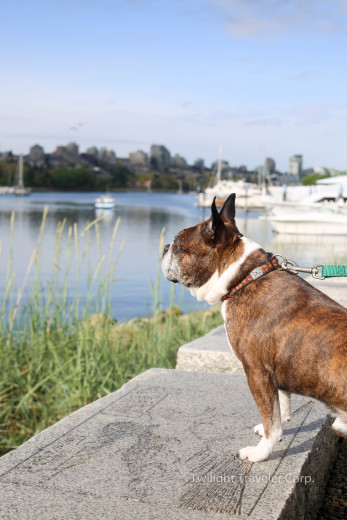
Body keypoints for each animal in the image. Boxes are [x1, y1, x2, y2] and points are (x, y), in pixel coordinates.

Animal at [163, 193, 347, 462]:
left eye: (177, 247)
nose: (165, 247)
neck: (244, 277)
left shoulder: (257, 372)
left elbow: (271, 420)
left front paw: (262, 451)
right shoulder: (272, 373)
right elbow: (280, 406)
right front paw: (278, 424)